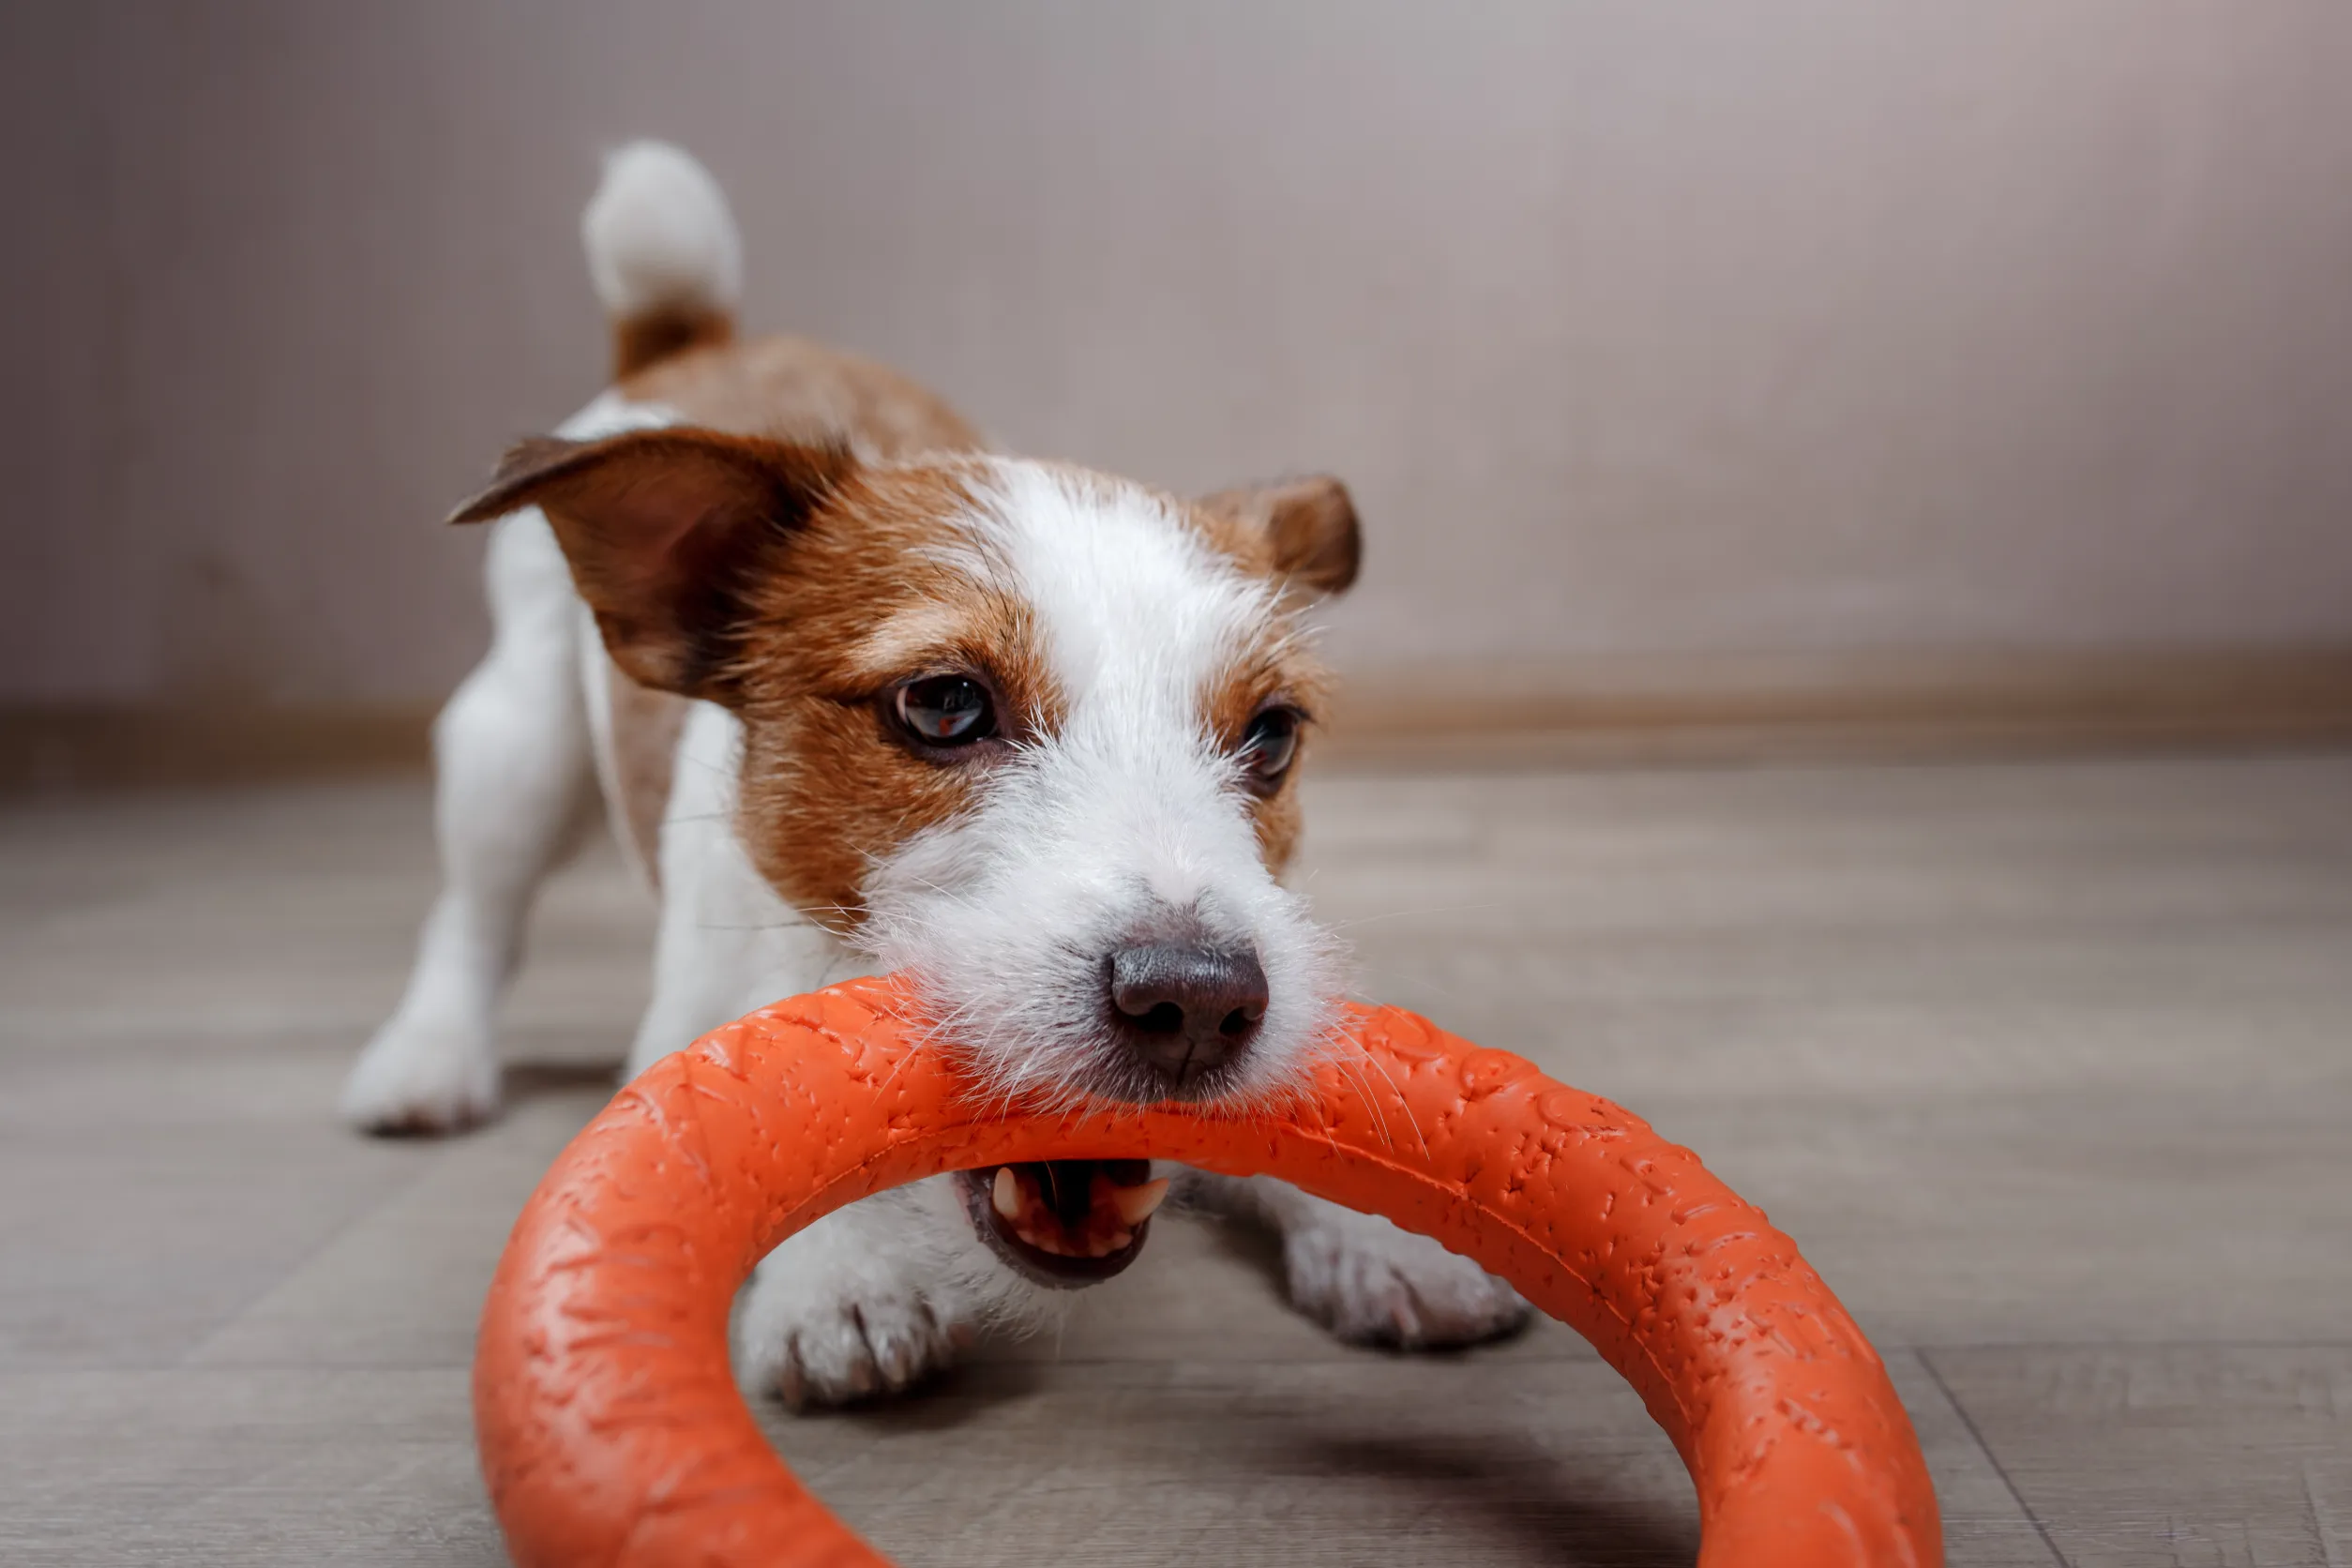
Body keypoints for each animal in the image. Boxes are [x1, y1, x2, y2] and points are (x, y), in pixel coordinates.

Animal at [348, 141, 1524, 1401]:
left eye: (1271, 733)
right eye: (944, 703)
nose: (1202, 1001)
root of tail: (701, 339)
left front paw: (1386, 1231)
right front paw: (841, 1271)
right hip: (517, 751)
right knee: (475, 911)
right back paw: (427, 1056)